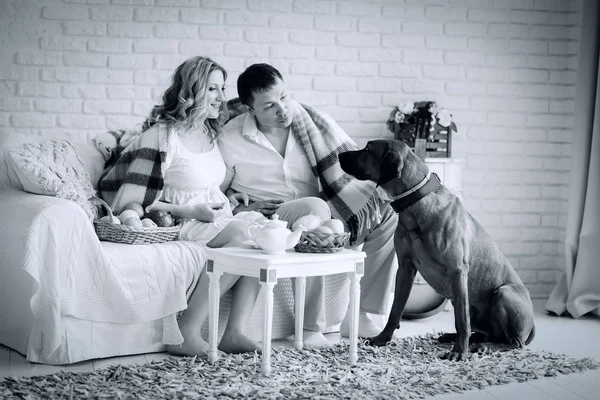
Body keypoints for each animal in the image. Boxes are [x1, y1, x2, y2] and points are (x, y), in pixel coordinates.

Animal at [340, 140, 536, 360]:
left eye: (367, 149)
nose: (339, 155)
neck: (417, 202)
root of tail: (532, 326)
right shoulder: (405, 268)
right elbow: (395, 309)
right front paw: (382, 339)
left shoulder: (457, 271)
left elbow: (461, 320)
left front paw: (460, 352)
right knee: (489, 334)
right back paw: (461, 338)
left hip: (504, 292)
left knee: (513, 343)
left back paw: (483, 346)